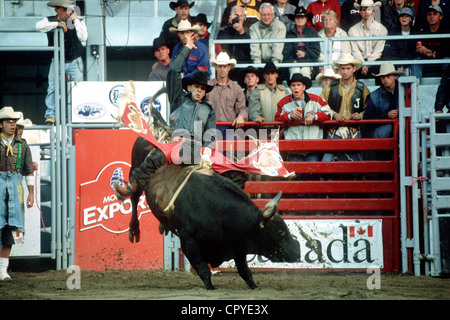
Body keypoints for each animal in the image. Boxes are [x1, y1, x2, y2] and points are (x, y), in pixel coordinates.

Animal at [124, 136, 298, 290]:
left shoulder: (238, 245)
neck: (218, 211)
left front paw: (255, 287)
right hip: (135, 172)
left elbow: (245, 271)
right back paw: (133, 229)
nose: (298, 250)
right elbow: (204, 271)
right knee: (134, 195)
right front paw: (211, 287)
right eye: (280, 231)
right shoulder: (189, 243)